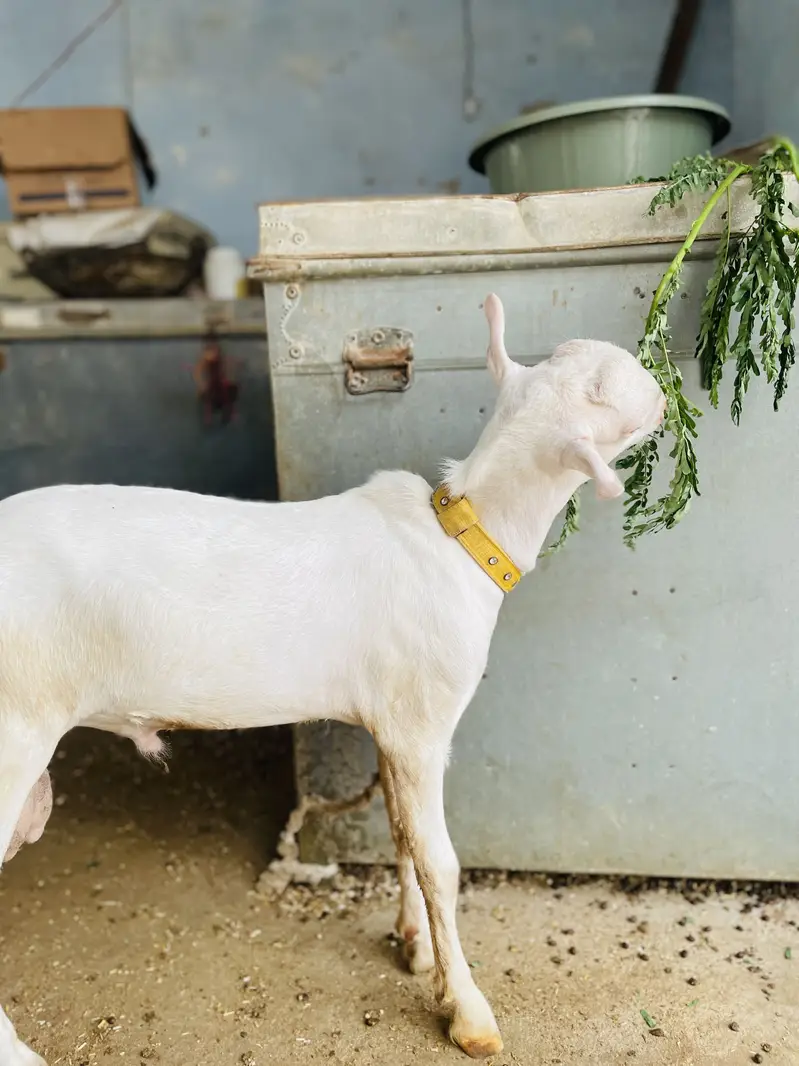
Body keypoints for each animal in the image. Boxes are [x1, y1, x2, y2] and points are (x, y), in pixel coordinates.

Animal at [0, 294, 665, 1063]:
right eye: (611, 390)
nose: (661, 386)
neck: (460, 538)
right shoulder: (422, 720)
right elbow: (439, 860)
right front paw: (467, 1010)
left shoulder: (392, 720)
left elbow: (401, 834)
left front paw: (415, 946)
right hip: (15, 724)